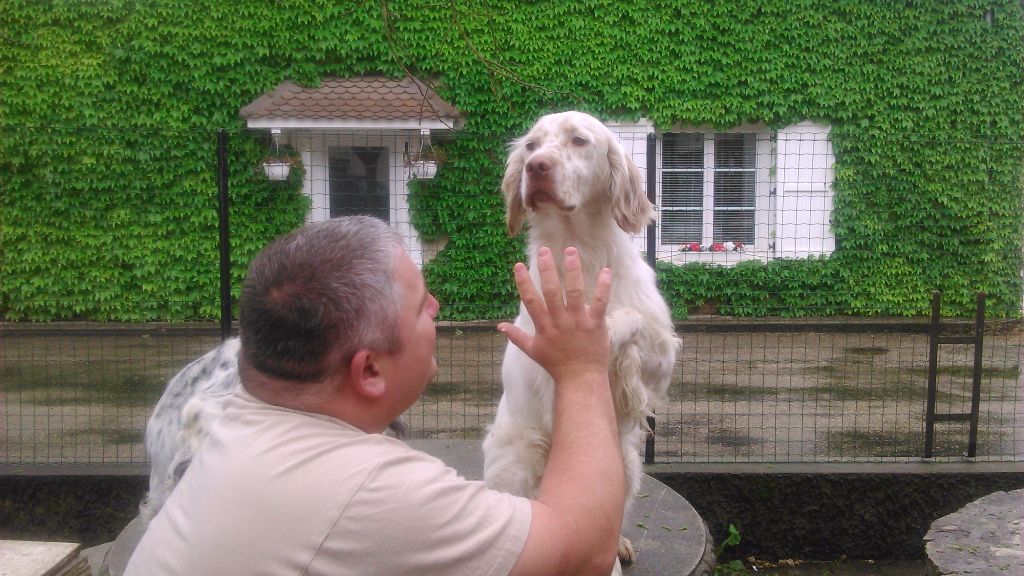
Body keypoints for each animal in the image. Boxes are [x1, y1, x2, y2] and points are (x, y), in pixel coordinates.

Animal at [481, 109, 679, 565]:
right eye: (532, 146)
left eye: (578, 140)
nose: (536, 167)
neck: (581, 253)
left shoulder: (663, 361)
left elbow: (631, 323)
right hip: (521, 451)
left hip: (627, 461)